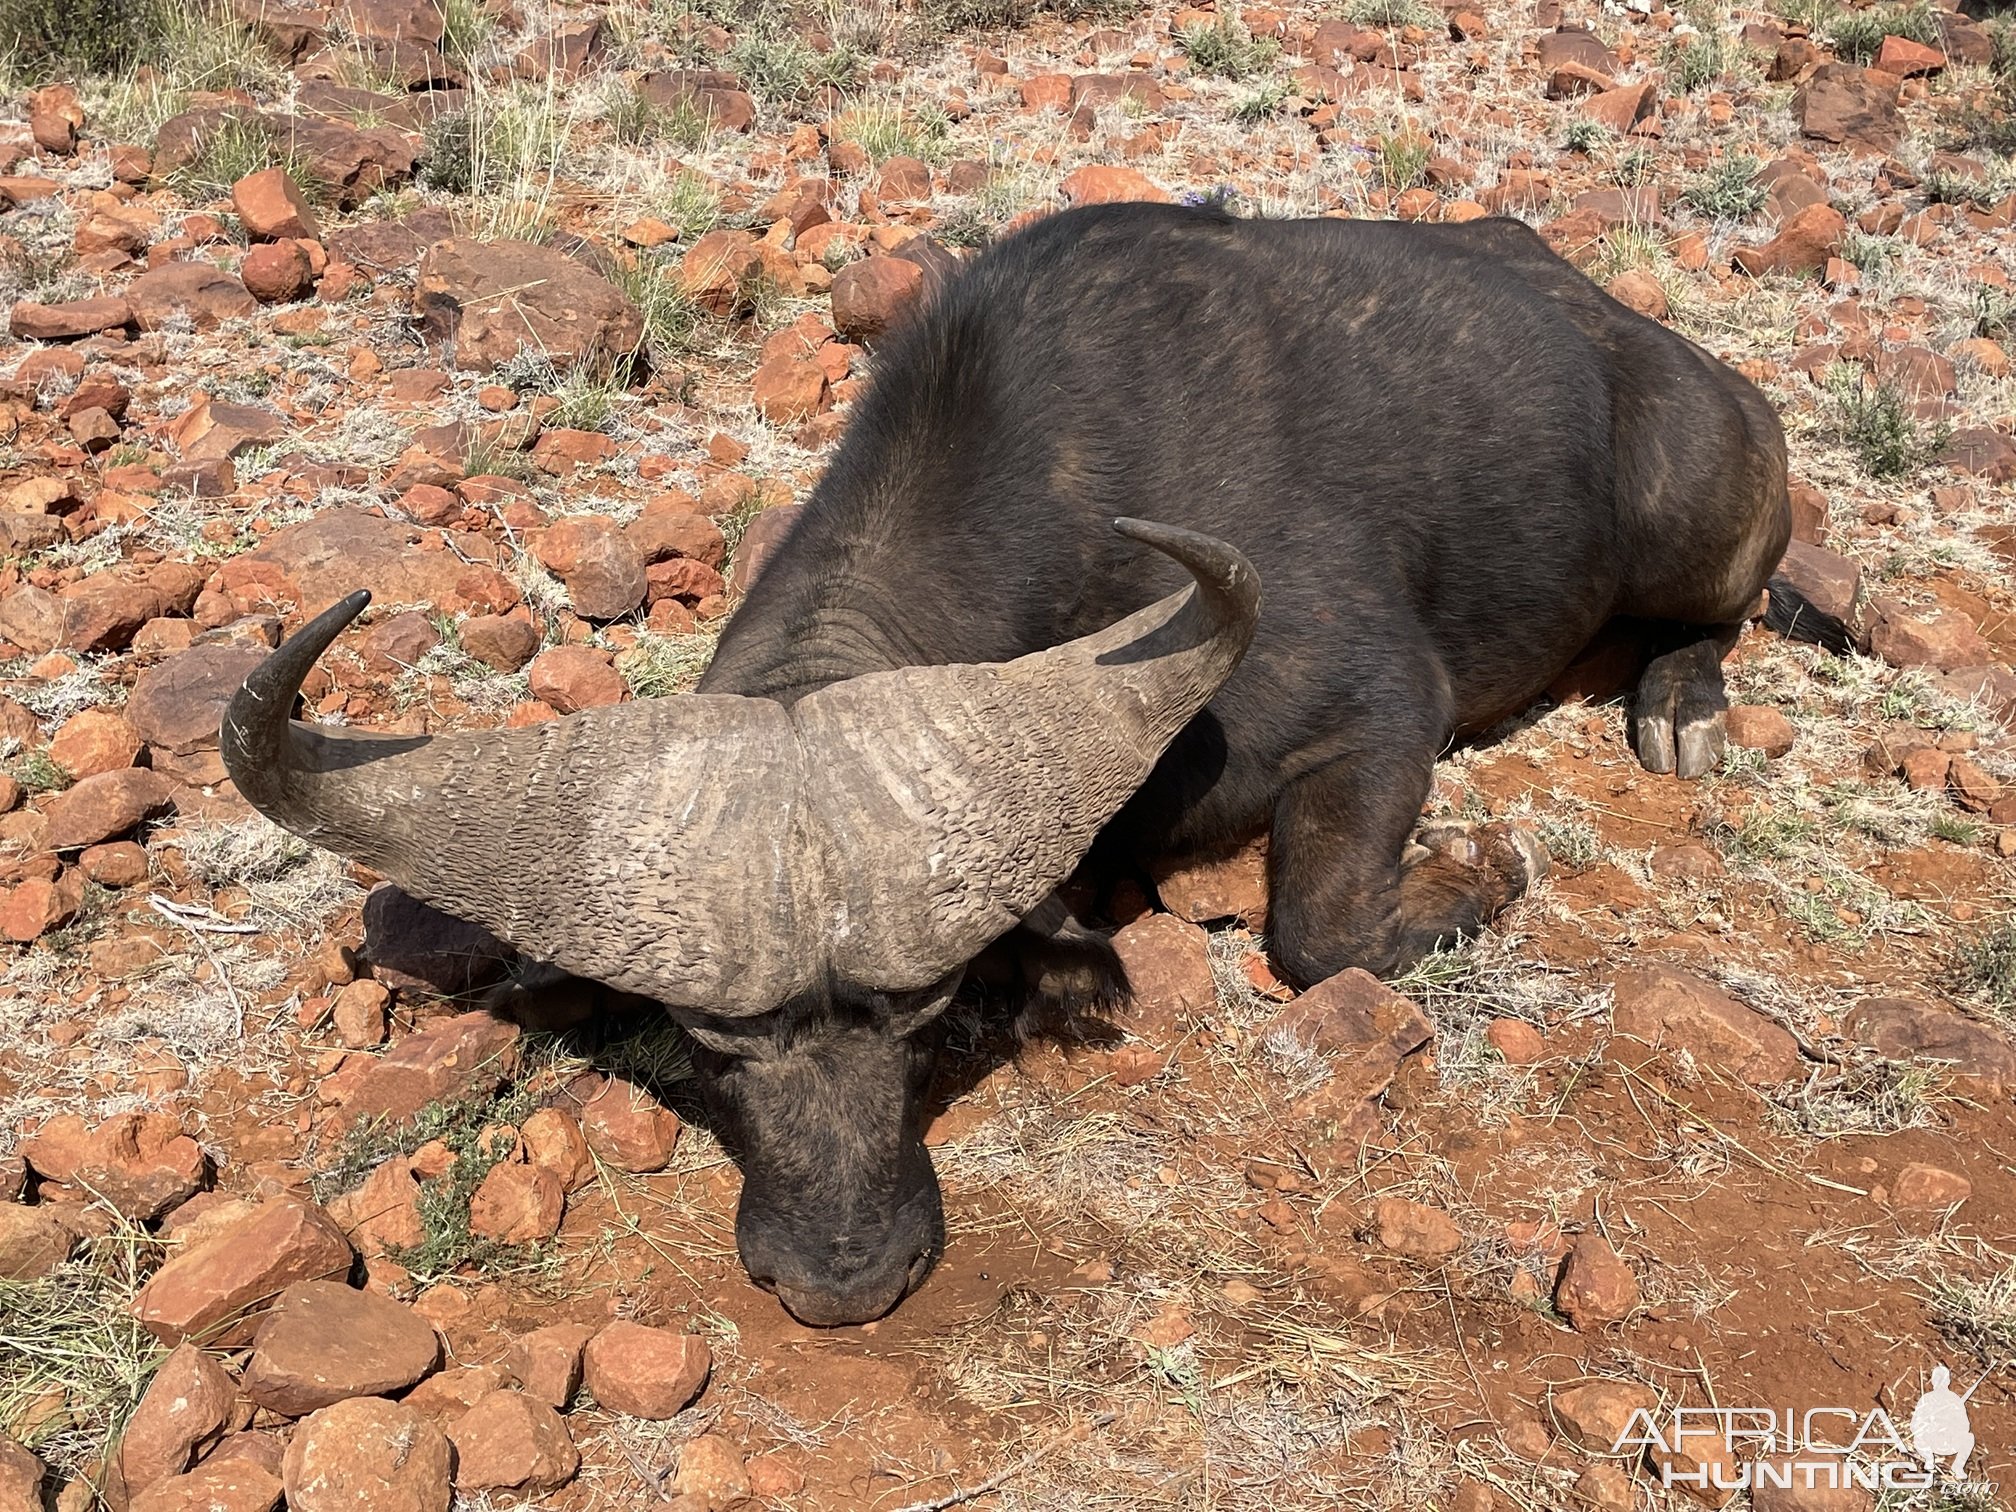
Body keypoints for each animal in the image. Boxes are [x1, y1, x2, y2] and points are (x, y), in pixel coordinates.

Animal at [228, 201, 1790, 1322]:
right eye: (711, 1046)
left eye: (930, 1016)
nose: (846, 1281)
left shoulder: (1381, 709)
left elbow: (1317, 931)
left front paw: (1482, 869)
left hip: (1691, 519)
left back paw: (1682, 702)